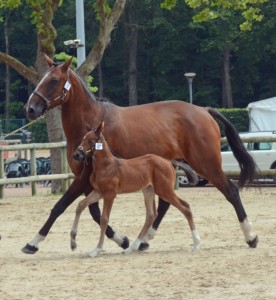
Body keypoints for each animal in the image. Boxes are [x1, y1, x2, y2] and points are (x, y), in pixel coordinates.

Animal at [70, 120, 201, 256]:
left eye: (91, 141)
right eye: (83, 138)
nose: (76, 155)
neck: (106, 166)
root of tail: (168, 162)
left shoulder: (109, 194)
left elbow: (104, 219)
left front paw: (97, 249)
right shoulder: (98, 192)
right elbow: (80, 205)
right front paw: (73, 242)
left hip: (164, 190)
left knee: (185, 207)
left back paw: (196, 244)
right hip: (148, 190)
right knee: (151, 215)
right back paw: (131, 247)